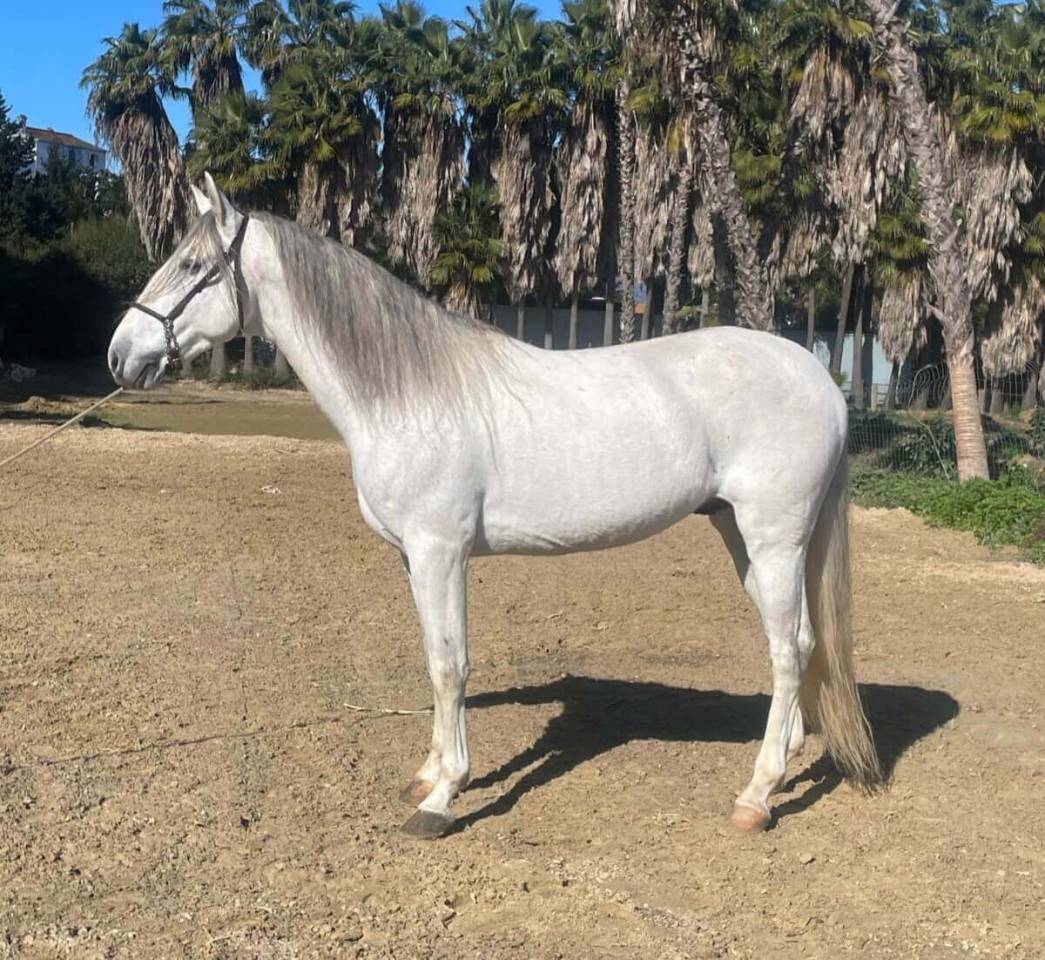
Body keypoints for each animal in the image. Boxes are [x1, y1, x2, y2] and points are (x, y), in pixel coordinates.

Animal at [107, 174, 880, 838]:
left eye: (194, 265)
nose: (120, 355)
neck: (409, 396)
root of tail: (817, 375)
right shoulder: (414, 560)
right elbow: (432, 657)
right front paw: (427, 776)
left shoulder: (439, 553)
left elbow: (451, 666)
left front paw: (444, 798)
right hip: (742, 538)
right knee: (797, 646)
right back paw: (782, 767)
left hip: (774, 538)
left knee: (789, 649)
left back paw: (755, 797)